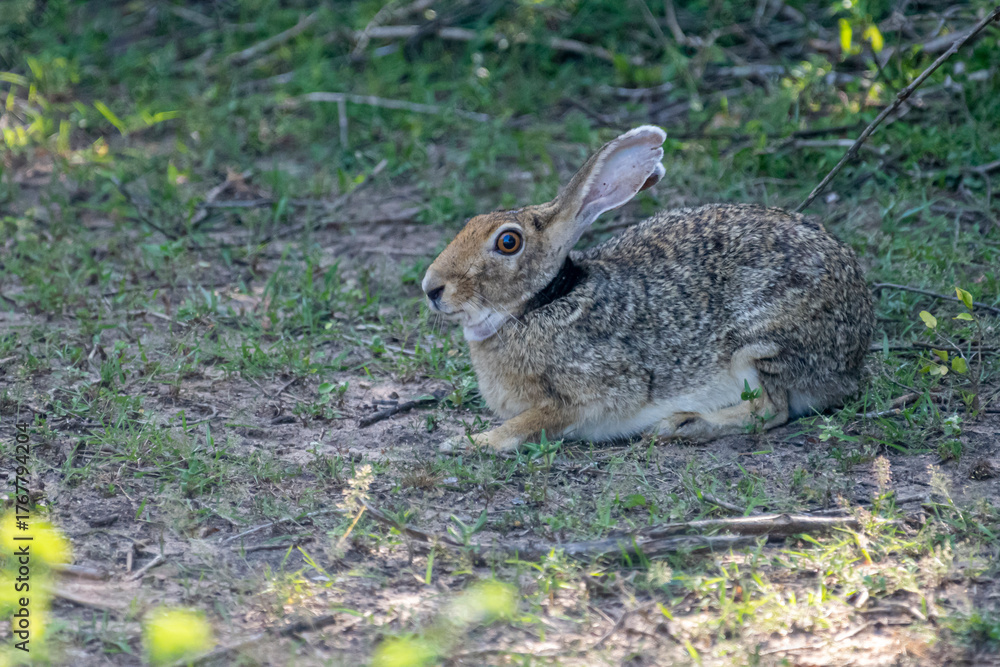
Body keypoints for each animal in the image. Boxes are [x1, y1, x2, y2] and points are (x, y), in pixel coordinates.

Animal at [422, 125, 874, 452]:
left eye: (508, 242)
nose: (431, 288)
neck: (542, 302)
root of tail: (855, 349)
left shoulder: (592, 394)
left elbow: (530, 422)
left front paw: (469, 442)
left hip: (761, 342)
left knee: (772, 409)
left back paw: (683, 424)